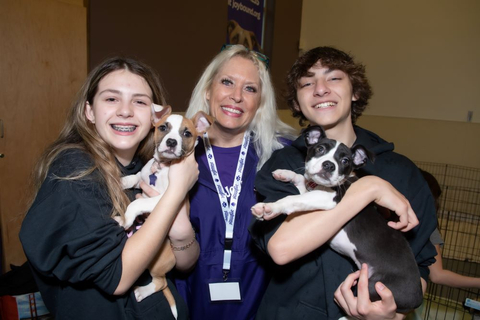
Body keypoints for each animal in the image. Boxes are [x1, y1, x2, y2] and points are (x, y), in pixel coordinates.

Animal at [118, 105, 212, 318]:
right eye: (163, 127)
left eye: (187, 133)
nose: (171, 142)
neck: (162, 167)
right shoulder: (145, 177)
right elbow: (137, 176)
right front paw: (124, 180)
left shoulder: (163, 199)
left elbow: (137, 204)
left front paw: (126, 219)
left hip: (157, 263)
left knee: (160, 283)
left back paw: (143, 291)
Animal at [251, 125, 424, 312]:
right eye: (320, 149)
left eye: (345, 161)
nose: (329, 165)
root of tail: (418, 299)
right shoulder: (312, 193)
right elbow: (301, 181)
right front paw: (285, 173)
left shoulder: (328, 199)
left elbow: (292, 199)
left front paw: (270, 208)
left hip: (377, 285)